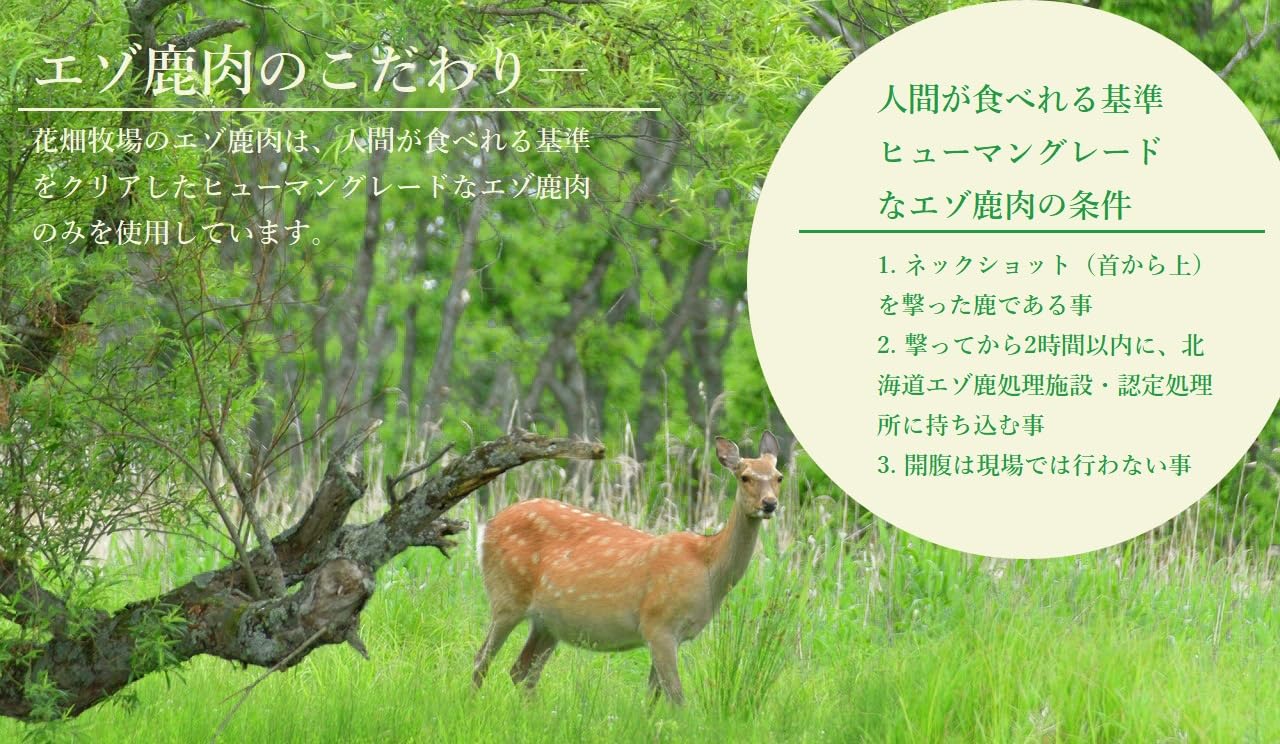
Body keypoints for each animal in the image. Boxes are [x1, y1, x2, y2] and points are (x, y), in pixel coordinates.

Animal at [472, 431, 782, 705]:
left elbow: (654, 697)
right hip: (506, 596)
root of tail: (486, 528)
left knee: (522, 670)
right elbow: (676, 697)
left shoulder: (671, 634)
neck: (708, 567)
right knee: (482, 660)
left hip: (548, 622)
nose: (770, 504)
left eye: (779, 476)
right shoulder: (658, 624)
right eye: (745, 476)